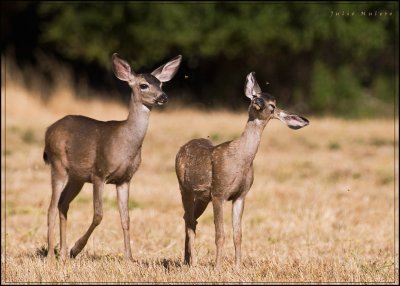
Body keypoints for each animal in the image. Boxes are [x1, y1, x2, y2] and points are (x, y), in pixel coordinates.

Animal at [43, 52, 181, 260]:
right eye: (143, 85)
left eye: (161, 84)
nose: (163, 97)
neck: (125, 144)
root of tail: (49, 130)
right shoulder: (99, 173)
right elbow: (98, 215)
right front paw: (77, 248)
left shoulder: (125, 179)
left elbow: (126, 218)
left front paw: (130, 258)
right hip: (58, 163)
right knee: (51, 206)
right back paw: (53, 255)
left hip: (77, 177)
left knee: (62, 204)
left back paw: (63, 254)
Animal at [175, 72, 310, 270]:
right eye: (255, 96)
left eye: (272, 106)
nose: (258, 102)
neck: (240, 161)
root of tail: (181, 148)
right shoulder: (219, 192)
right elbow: (220, 235)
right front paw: (217, 268)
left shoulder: (240, 195)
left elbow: (238, 235)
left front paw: (237, 267)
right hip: (184, 187)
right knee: (189, 219)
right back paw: (193, 263)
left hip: (202, 197)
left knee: (189, 218)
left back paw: (187, 260)